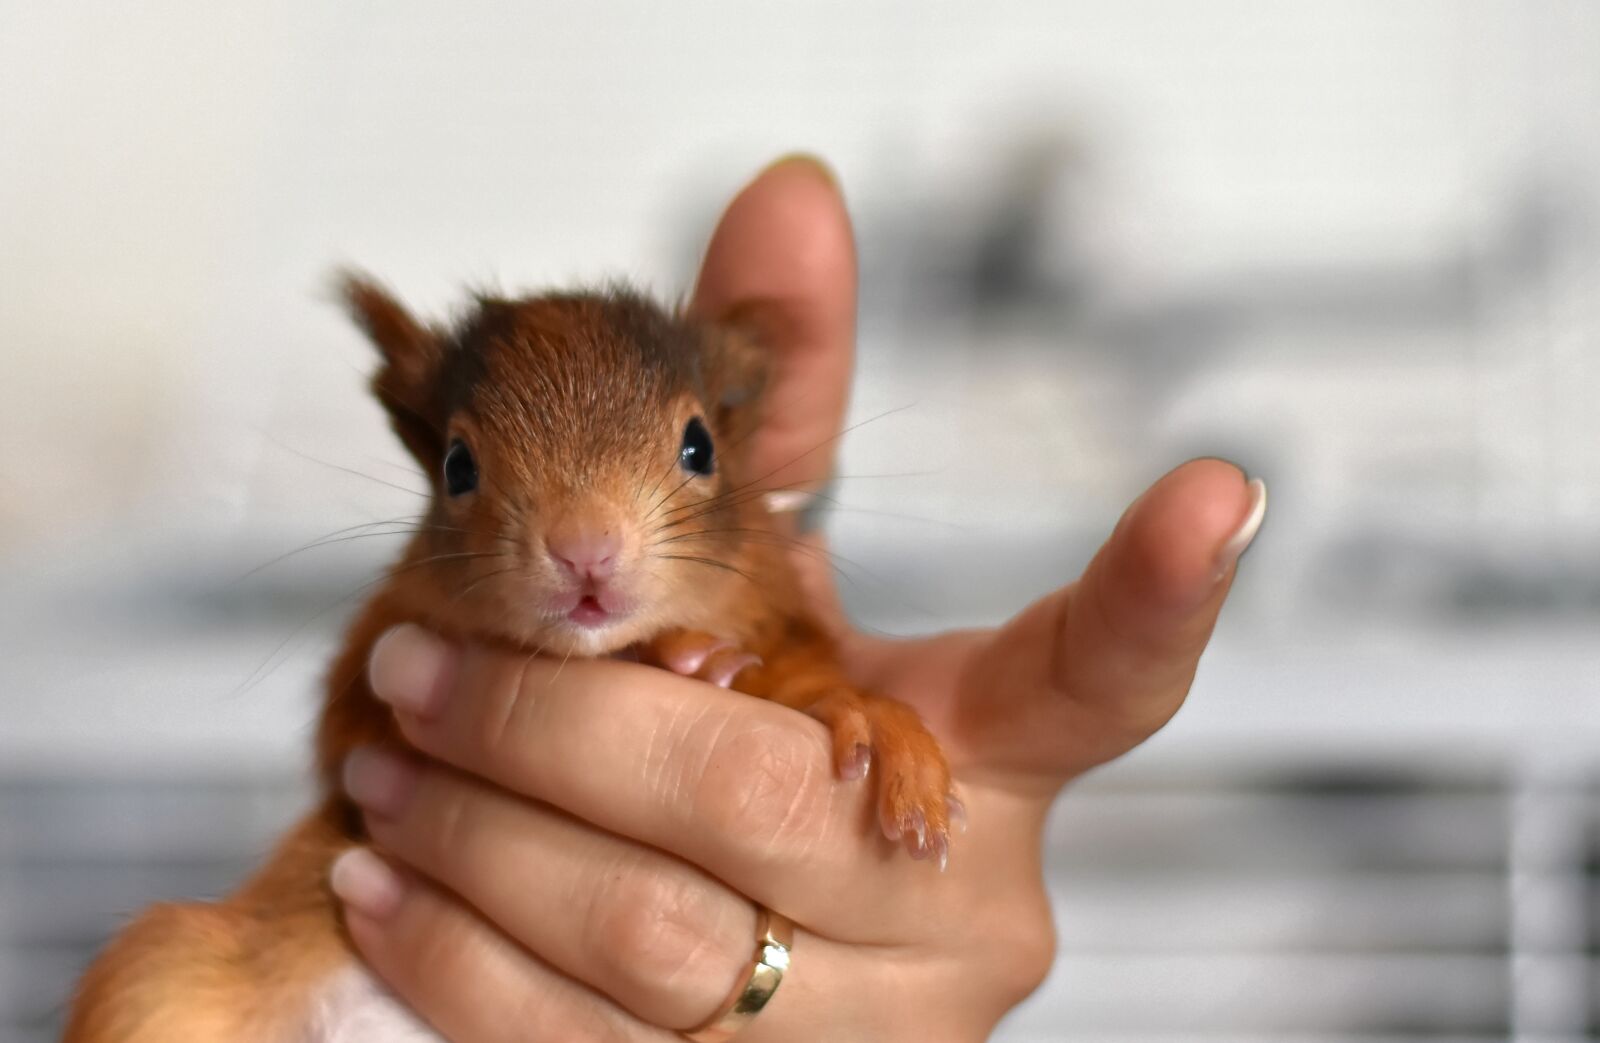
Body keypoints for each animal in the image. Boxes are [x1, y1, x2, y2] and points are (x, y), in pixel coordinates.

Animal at [62, 276, 957, 1041]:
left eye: (700, 447)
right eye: (457, 465)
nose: (586, 547)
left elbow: (810, 676)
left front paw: (874, 725)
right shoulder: (373, 668)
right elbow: (357, 724)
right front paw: (682, 654)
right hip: (162, 979)